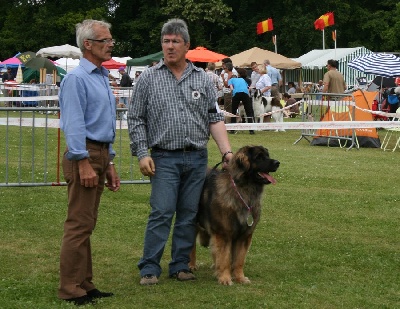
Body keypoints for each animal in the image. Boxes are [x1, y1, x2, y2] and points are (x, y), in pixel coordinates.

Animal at [189, 144, 280, 284]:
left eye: (267, 155)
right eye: (259, 157)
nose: (277, 163)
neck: (244, 191)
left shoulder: (244, 236)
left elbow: (238, 260)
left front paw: (239, 277)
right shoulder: (223, 233)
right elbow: (225, 257)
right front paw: (225, 278)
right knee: (191, 245)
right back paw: (191, 265)